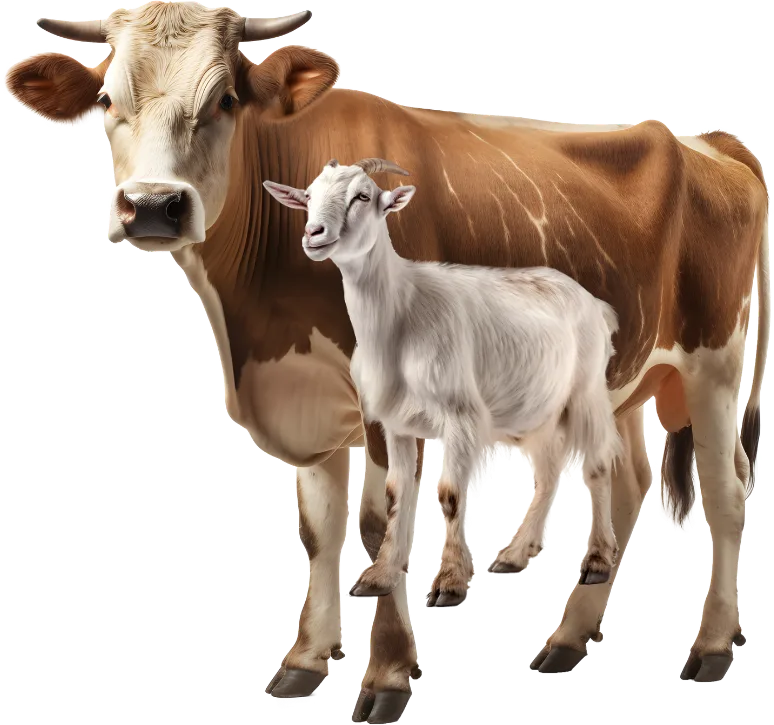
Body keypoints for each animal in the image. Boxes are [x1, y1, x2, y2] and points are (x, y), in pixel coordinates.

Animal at [3, 3, 768, 722]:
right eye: (107, 99)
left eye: (224, 99)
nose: (155, 206)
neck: (255, 325)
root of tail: (706, 139)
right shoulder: (308, 398)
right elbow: (320, 529)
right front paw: (306, 661)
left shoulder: (386, 403)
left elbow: (383, 523)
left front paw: (389, 676)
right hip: (617, 379)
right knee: (626, 475)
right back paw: (568, 640)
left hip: (712, 363)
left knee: (725, 491)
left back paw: (710, 647)